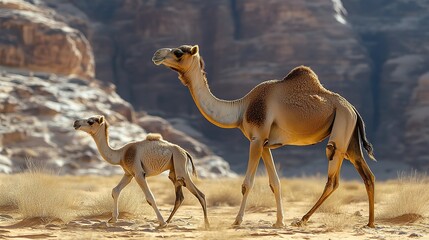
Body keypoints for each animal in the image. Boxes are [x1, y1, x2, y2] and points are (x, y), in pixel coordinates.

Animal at [73, 116, 209, 229]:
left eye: (91, 121)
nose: (75, 122)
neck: (121, 154)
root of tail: (185, 152)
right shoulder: (129, 174)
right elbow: (115, 190)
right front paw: (112, 219)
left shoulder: (139, 173)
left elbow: (150, 197)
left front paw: (161, 222)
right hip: (174, 172)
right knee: (180, 197)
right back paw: (169, 221)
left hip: (181, 168)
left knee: (200, 194)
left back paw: (205, 224)